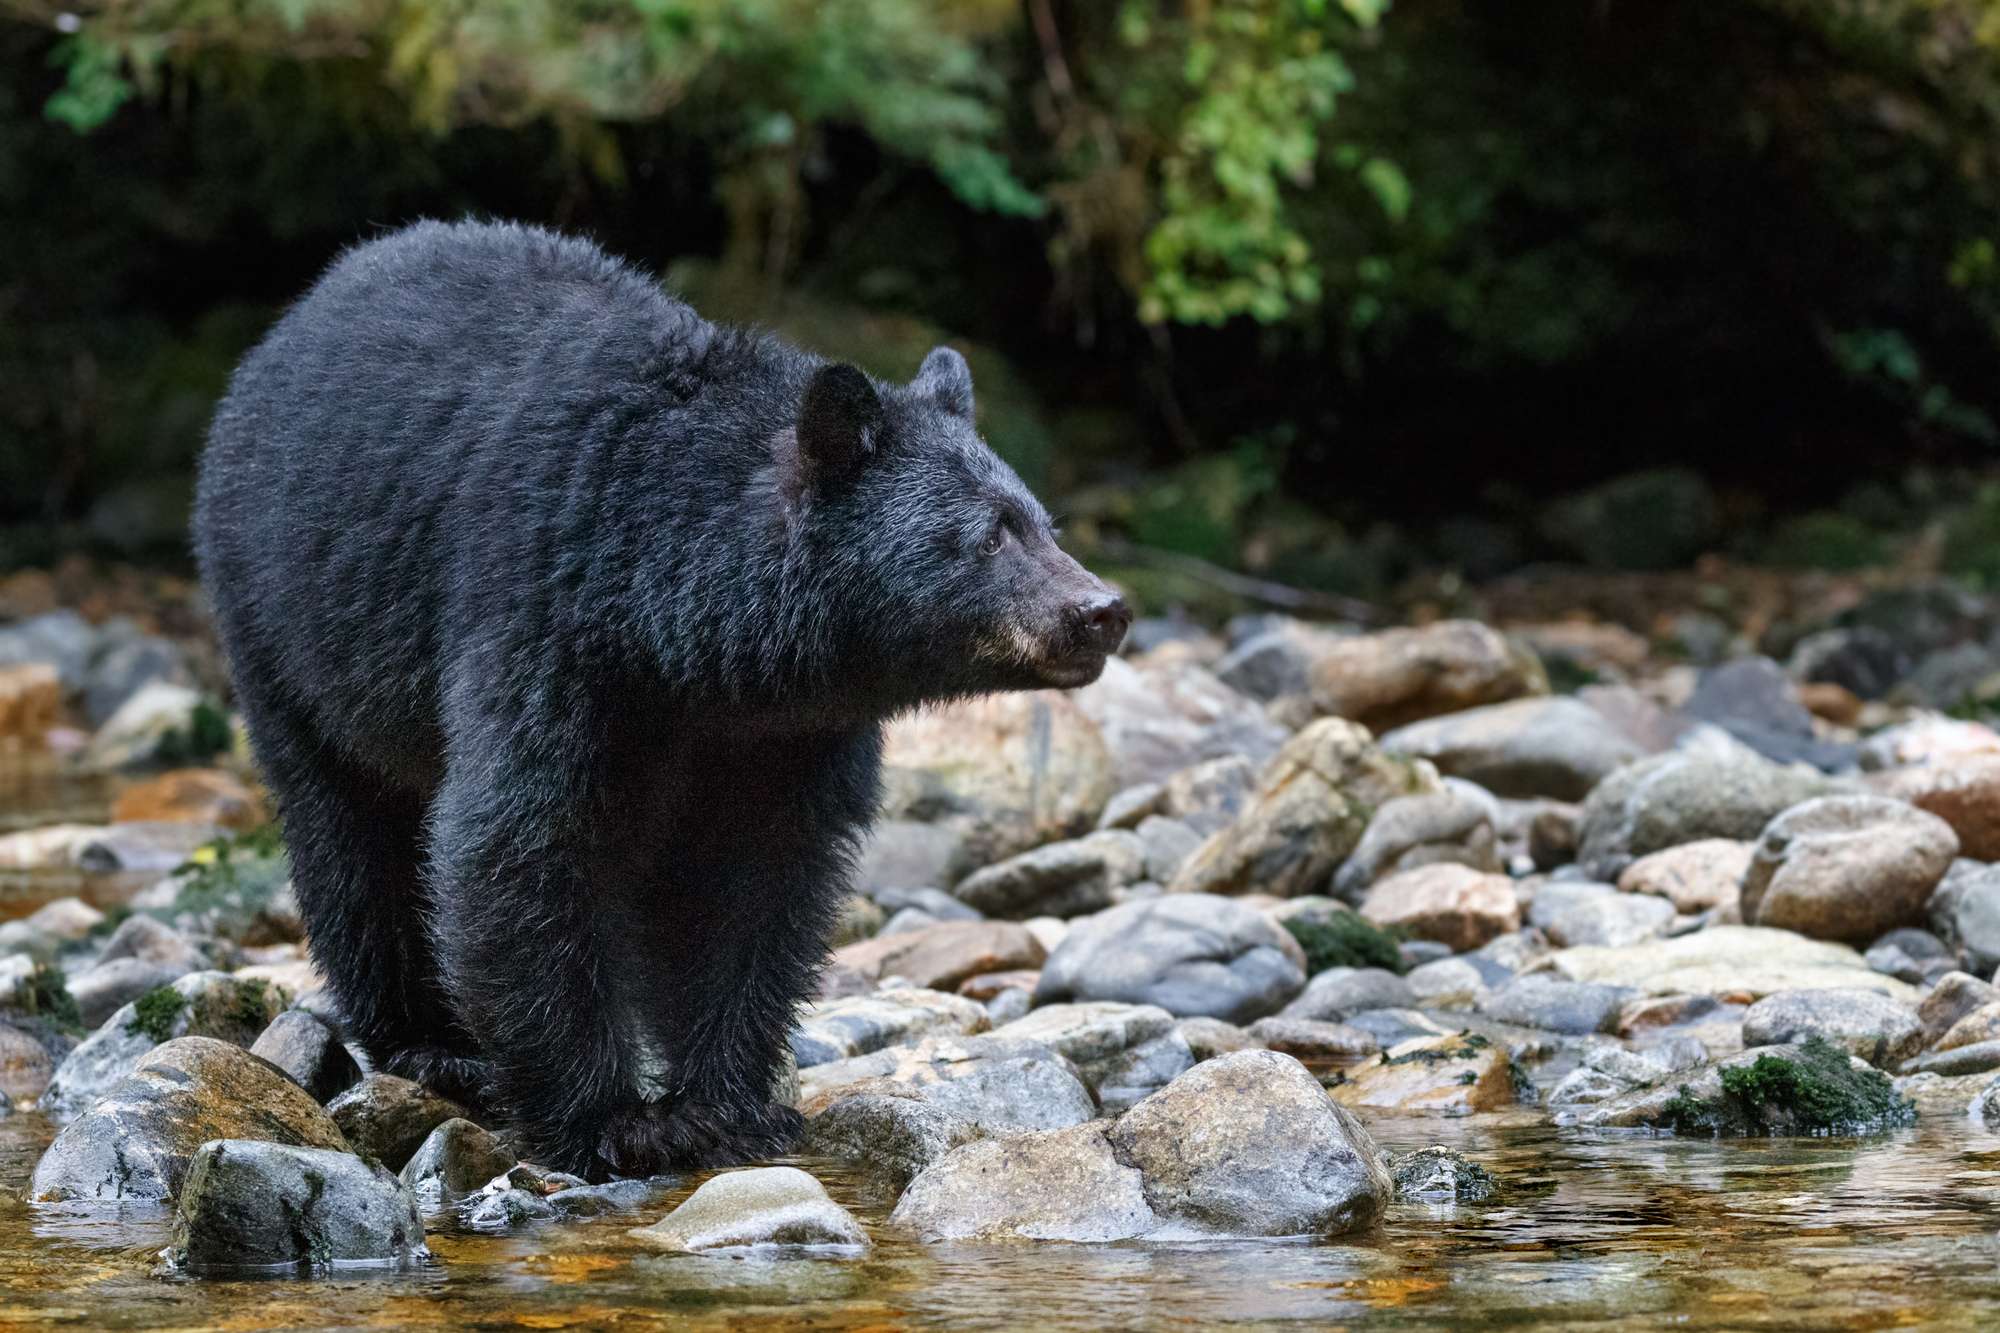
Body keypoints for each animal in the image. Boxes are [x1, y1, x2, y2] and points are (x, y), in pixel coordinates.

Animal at [193, 219, 1129, 1178]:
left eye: (1043, 522)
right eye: (989, 535)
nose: (1101, 610)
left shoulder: (783, 732)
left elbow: (755, 878)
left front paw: (731, 1103)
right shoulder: (545, 624)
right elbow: (522, 842)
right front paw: (609, 1120)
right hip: (290, 624)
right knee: (351, 831)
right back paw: (430, 1042)